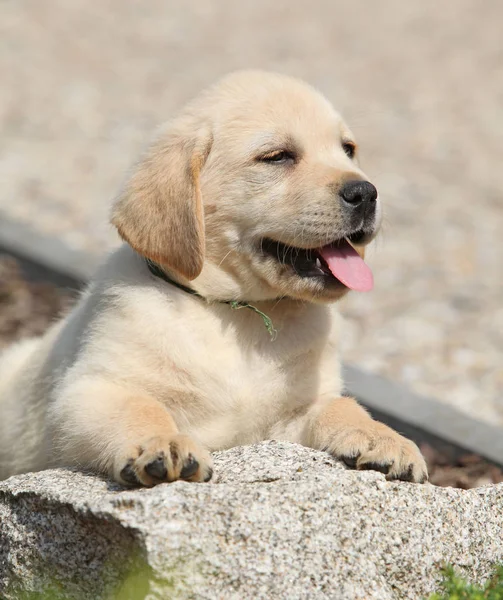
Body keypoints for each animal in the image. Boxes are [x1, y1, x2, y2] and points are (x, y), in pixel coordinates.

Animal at [0, 70, 430, 486]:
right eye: (277, 157)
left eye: (348, 149)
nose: (366, 193)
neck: (238, 314)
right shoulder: (92, 390)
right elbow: (139, 408)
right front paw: (164, 442)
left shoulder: (292, 416)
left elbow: (340, 406)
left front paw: (383, 438)